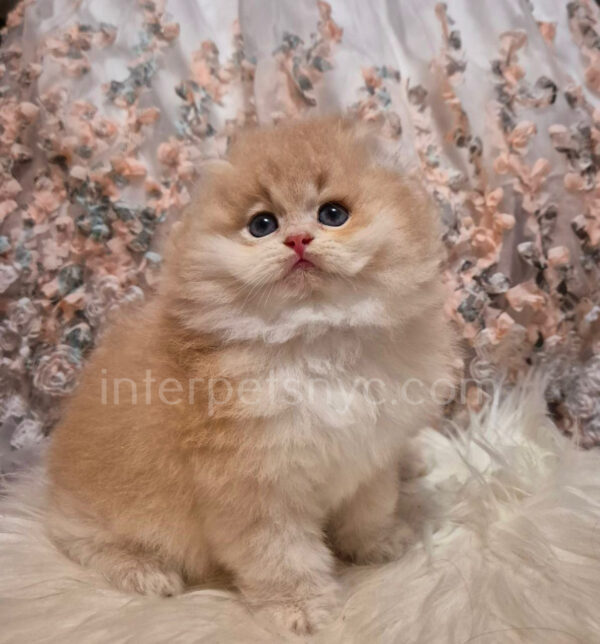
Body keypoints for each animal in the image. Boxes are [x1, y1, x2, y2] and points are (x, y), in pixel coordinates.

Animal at [47, 118, 458, 636]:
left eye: (333, 214)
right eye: (262, 225)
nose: (298, 240)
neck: (314, 340)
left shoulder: (368, 453)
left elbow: (370, 508)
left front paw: (378, 545)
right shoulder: (258, 488)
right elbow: (283, 557)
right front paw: (301, 608)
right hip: (113, 512)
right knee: (79, 539)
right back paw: (145, 570)